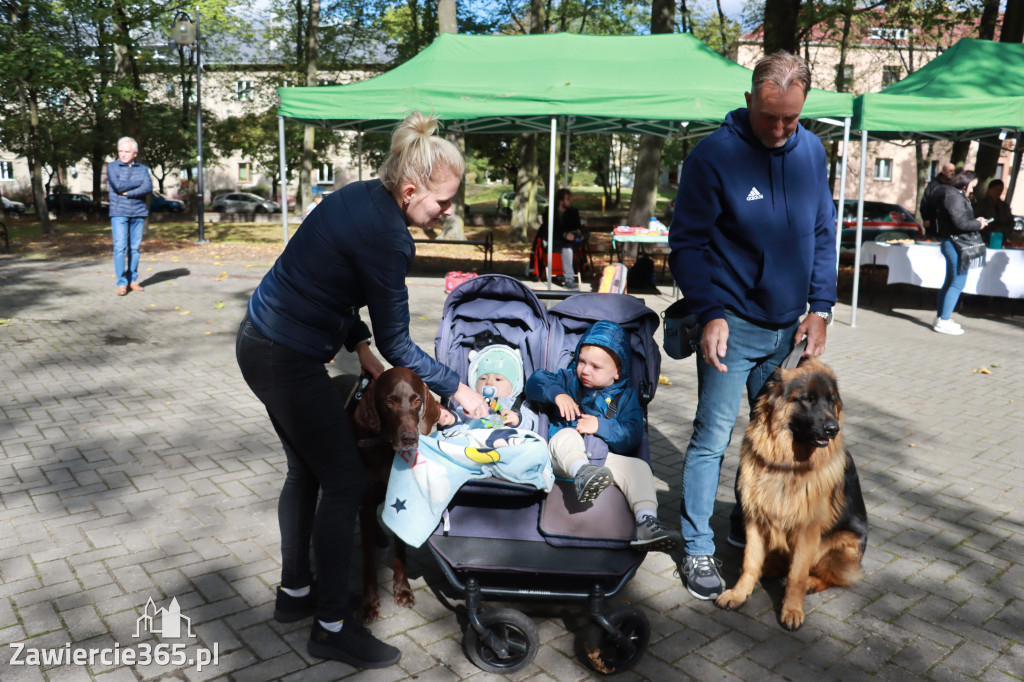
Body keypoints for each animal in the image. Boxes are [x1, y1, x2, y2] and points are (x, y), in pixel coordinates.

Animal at [350, 366, 438, 622]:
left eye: (417, 401)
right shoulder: (367, 503)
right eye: (390, 401)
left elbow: (401, 552)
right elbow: (369, 563)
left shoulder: (399, 498)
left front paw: (403, 590)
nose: (410, 438)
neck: (385, 448)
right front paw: (369, 604)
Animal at [716, 356, 868, 626]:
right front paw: (739, 593)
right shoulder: (755, 518)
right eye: (807, 399)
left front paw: (792, 609)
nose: (833, 429)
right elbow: (750, 562)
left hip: (841, 545)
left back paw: (811, 582)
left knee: (832, 576)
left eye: (831, 401)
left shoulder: (808, 529)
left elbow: (797, 574)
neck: (787, 464)